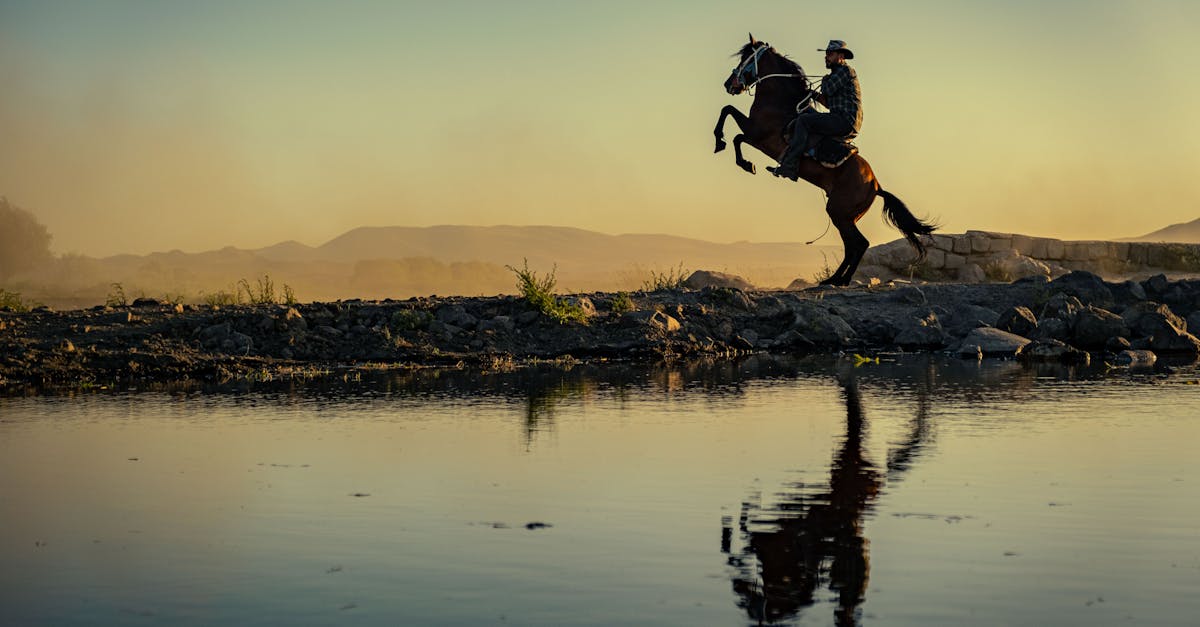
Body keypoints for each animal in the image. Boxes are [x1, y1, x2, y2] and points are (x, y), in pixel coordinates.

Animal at [710, 34, 936, 285]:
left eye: (745, 59)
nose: (729, 84)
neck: (781, 102)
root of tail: (876, 185)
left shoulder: (756, 133)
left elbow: (731, 121)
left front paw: (734, 153)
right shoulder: (754, 134)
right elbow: (731, 119)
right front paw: (739, 157)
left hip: (839, 213)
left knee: (859, 244)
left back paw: (841, 280)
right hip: (846, 216)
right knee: (853, 246)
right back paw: (834, 279)